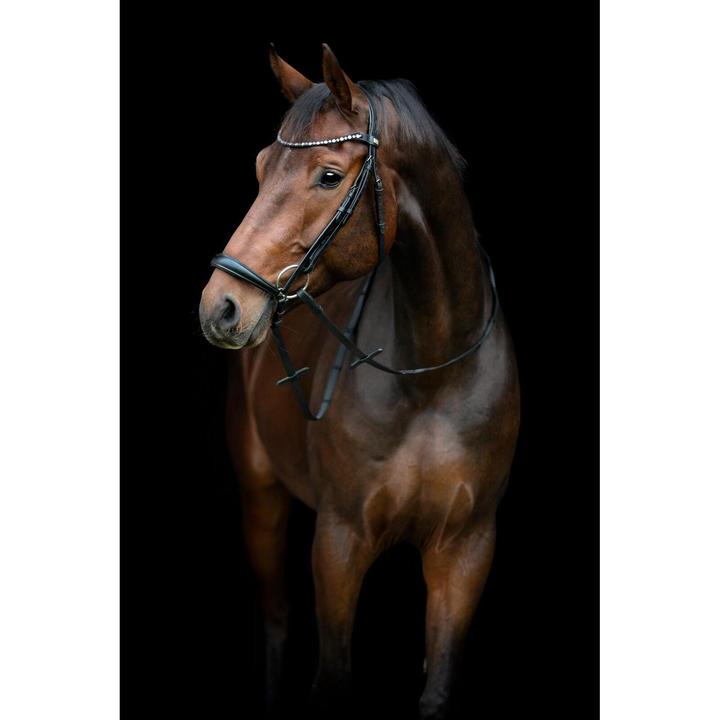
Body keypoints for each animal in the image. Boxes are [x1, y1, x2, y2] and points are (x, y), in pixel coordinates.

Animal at [199, 44, 520, 719]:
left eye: (327, 176)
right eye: (261, 166)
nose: (221, 307)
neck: (433, 377)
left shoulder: (466, 549)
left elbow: (437, 686)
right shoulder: (339, 543)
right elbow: (332, 681)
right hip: (262, 499)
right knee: (275, 619)